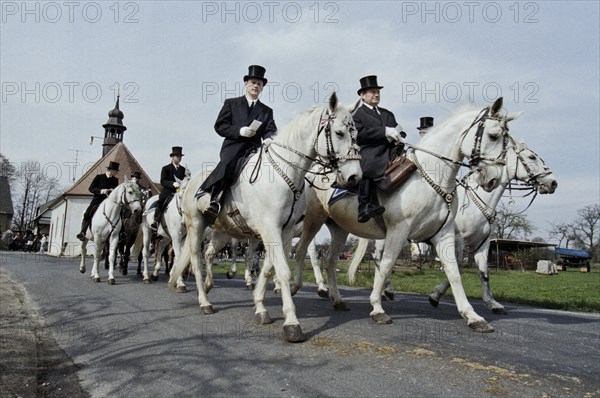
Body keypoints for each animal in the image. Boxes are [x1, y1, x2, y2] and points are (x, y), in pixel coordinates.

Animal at [170, 93, 360, 342]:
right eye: (339, 133)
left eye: (355, 134)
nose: (355, 177)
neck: (286, 174)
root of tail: (191, 183)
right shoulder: (270, 229)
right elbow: (282, 270)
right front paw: (292, 323)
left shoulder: (283, 232)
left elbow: (270, 269)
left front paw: (260, 306)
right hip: (196, 225)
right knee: (195, 257)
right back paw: (204, 301)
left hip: (222, 232)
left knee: (209, 254)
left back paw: (210, 286)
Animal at [292, 97, 516, 332]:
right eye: (493, 136)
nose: (492, 179)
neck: (430, 176)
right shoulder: (398, 230)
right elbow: (387, 265)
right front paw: (377, 307)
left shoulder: (444, 233)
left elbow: (454, 271)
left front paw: (472, 316)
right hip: (314, 220)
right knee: (303, 251)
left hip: (339, 228)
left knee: (330, 261)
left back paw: (337, 299)